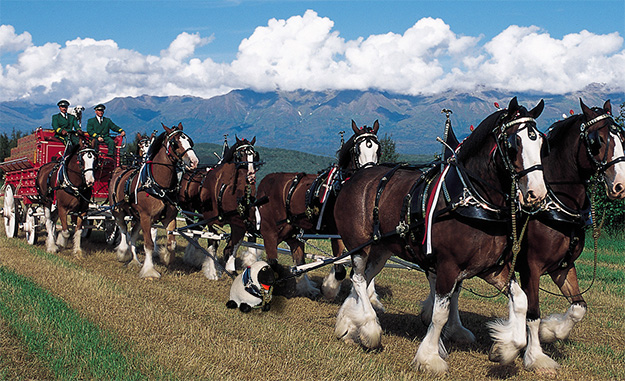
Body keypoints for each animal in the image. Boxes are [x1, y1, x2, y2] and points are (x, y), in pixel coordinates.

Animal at [108, 123, 197, 278]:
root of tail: (119, 169)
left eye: (190, 141)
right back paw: (123, 252)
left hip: (137, 217)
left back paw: (135, 260)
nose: (194, 162)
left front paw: (166, 258)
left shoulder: (169, 217)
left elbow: (171, 243)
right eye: (175, 143)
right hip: (118, 210)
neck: (158, 185)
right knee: (123, 230)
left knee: (132, 235)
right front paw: (149, 270)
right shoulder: (146, 216)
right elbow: (148, 244)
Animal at [178, 135, 260, 278]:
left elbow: (233, 245)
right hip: (189, 210)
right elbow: (214, 242)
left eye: (254, 155)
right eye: (241, 154)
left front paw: (231, 268)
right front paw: (212, 271)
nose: (251, 176)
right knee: (192, 232)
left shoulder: (238, 222)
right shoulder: (212, 220)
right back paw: (190, 257)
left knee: (196, 231)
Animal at [255, 120, 380, 298]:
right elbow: (341, 269)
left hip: (289, 231)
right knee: (272, 259)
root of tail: (265, 182)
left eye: (378, 148)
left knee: (297, 259)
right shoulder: (338, 233)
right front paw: (329, 289)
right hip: (270, 230)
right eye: (357, 150)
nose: (370, 176)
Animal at [332, 96, 544, 372]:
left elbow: (520, 300)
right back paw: (369, 329)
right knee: (357, 279)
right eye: (512, 144)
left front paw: (504, 349)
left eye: (541, 142)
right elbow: (440, 313)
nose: (537, 194)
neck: (472, 199)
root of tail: (358, 176)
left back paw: (348, 325)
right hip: (360, 245)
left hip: (381, 250)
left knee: (365, 279)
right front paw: (430, 357)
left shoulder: (492, 267)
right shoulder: (447, 266)